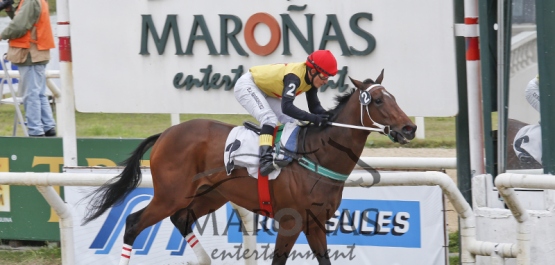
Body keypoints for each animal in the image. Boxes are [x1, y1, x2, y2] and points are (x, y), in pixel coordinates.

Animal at [82, 70, 416, 264]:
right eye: (376, 100)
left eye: (393, 97)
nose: (410, 128)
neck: (318, 156)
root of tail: (165, 134)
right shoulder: (291, 221)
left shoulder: (315, 223)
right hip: (170, 194)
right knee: (133, 223)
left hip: (209, 195)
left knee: (181, 218)